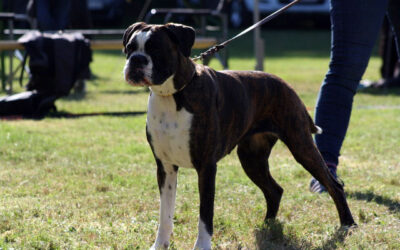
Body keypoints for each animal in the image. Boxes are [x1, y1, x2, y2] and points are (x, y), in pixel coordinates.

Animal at [122, 22, 356, 249]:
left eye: (155, 49)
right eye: (130, 49)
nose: (136, 60)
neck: (173, 95)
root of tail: (285, 84)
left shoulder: (206, 167)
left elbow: (205, 214)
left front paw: (202, 246)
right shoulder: (166, 167)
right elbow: (165, 214)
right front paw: (160, 245)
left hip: (301, 146)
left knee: (334, 185)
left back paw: (348, 225)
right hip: (252, 159)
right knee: (275, 190)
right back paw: (267, 226)